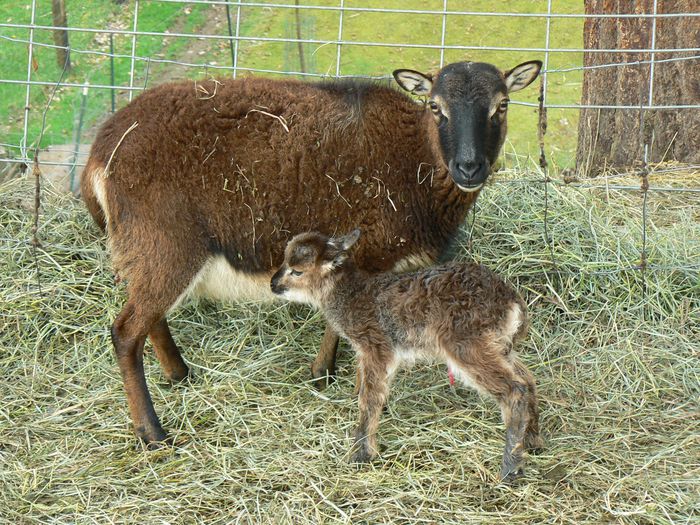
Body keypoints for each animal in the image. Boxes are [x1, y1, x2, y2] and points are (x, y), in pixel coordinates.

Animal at [82, 58, 540, 442]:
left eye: (502, 105)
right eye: (435, 106)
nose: (469, 167)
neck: (415, 158)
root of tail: (98, 155)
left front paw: (323, 375)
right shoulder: (369, 257)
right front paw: (335, 380)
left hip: (147, 250)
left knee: (148, 317)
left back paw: (178, 374)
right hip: (166, 243)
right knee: (126, 332)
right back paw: (152, 433)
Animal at [270, 230, 544, 484]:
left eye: (297, 271)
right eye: (283, 260)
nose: (273, 284)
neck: (352, 295)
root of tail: (512, 303)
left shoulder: (377, 346)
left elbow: (369, 399)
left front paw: (362, 454)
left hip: (467, 344)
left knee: (514, 389)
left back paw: (510, 467)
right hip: (499, 344)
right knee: (528, 379)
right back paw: (532, 441)